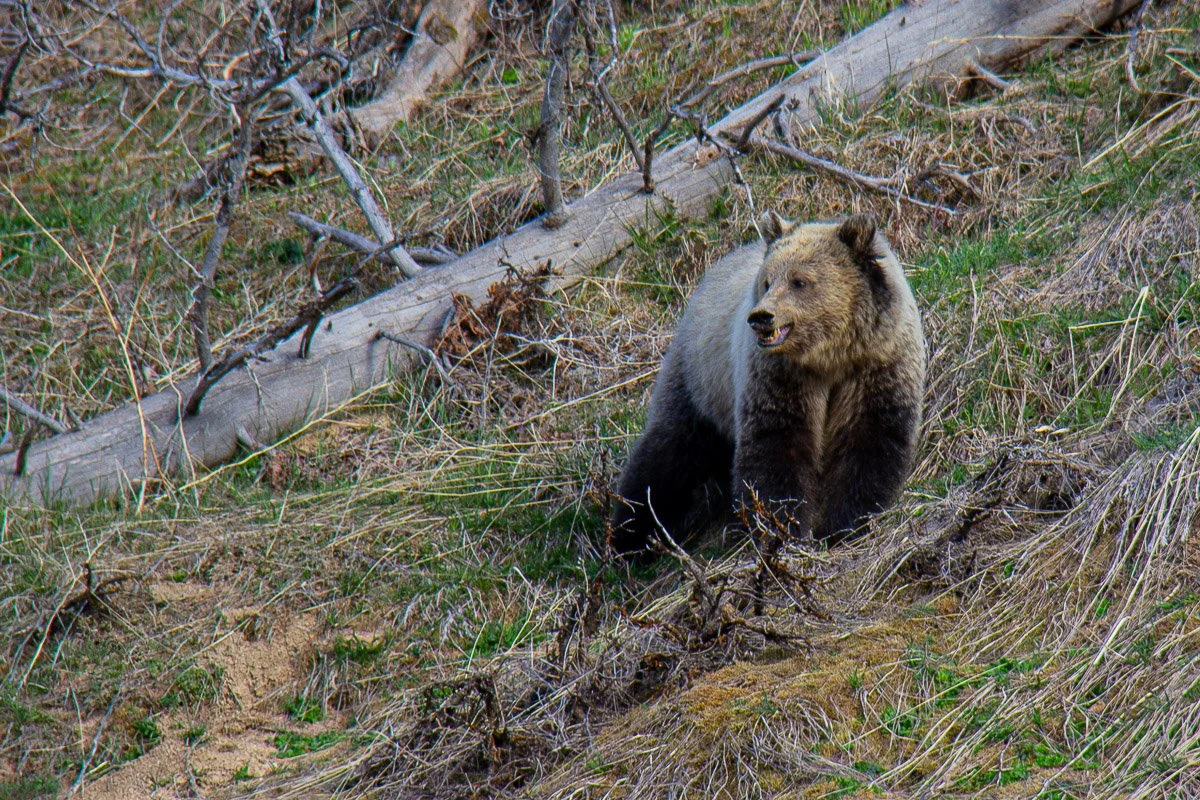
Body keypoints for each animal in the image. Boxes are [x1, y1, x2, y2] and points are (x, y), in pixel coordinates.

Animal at [609, 212, 926, 554]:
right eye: (768, 281)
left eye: (800, 281)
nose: (762, 316)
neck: (829, 357)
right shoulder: (779, 376)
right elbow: (776, 444)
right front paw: (780, 529)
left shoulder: (877, 366)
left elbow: (868, 443)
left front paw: (843, 525)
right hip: (701, 380)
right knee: (667, 455)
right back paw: (629, 535)